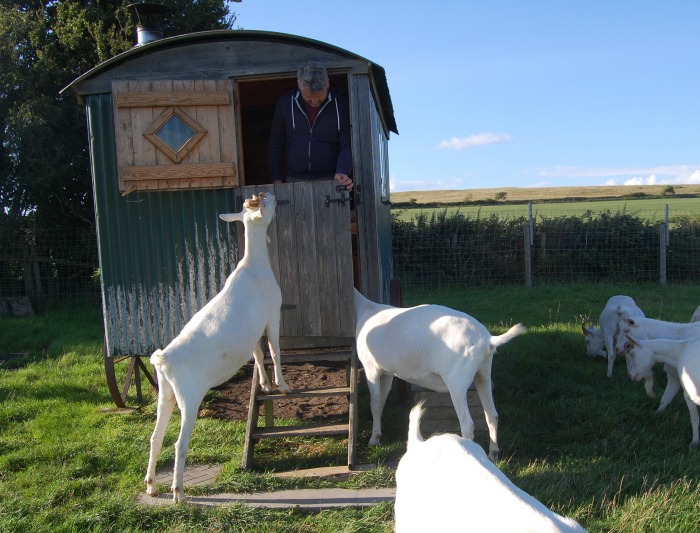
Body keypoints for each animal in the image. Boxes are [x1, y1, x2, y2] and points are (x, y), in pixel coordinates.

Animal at [145, 192, 290, 502]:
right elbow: (273, 351)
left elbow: (258, 354)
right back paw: (178, 493)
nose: (272, 194)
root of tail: (164, 360)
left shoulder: (253, 332)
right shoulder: (272, 316)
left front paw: (264, 384)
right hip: (189, 398)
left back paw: (151, 485)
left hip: (166, 394)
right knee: (179, 443)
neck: (254, 264)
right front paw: (282, 386)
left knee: (155, 436)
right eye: (265, 204)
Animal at [356, 288, 524, 460]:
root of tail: (487, 340)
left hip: (457, 380)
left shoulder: (371, 368)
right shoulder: (387, 372)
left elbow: (375, 404)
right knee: (492, 415)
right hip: (483, 373)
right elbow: (382, 401)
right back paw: (493, 454)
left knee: (467, 424)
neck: (365, 309)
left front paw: (374, 439)